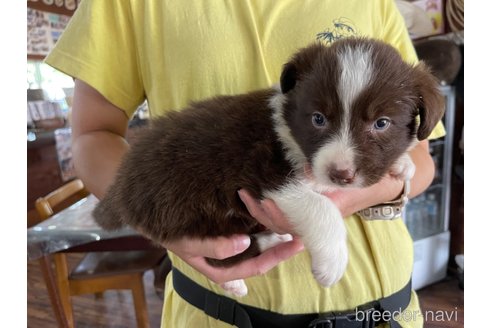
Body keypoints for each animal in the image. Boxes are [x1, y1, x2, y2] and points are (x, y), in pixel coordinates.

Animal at [93, 37, 446, 298]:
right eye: (318, 118)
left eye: (381, 123)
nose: (340, 175)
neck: (291, 131)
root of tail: (121, 189)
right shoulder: (264, 173)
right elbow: (321, 208)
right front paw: (331, 263)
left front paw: (402, 165)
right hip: (191, 209)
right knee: (221, 255)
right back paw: (248, 265)